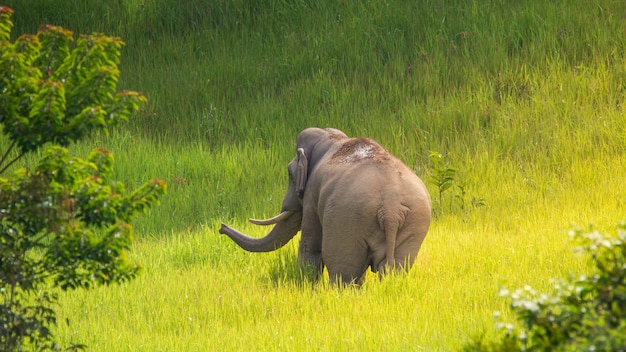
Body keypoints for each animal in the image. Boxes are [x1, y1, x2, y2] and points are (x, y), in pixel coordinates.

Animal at [218, 128, 428, 284]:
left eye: (290, 175)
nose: (221, 226)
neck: (331, 139)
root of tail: (391, 210)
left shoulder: (312, 194)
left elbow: (310, 245)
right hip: (413, 225)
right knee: (393, 269)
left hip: (346, 221)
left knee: (344, 271)